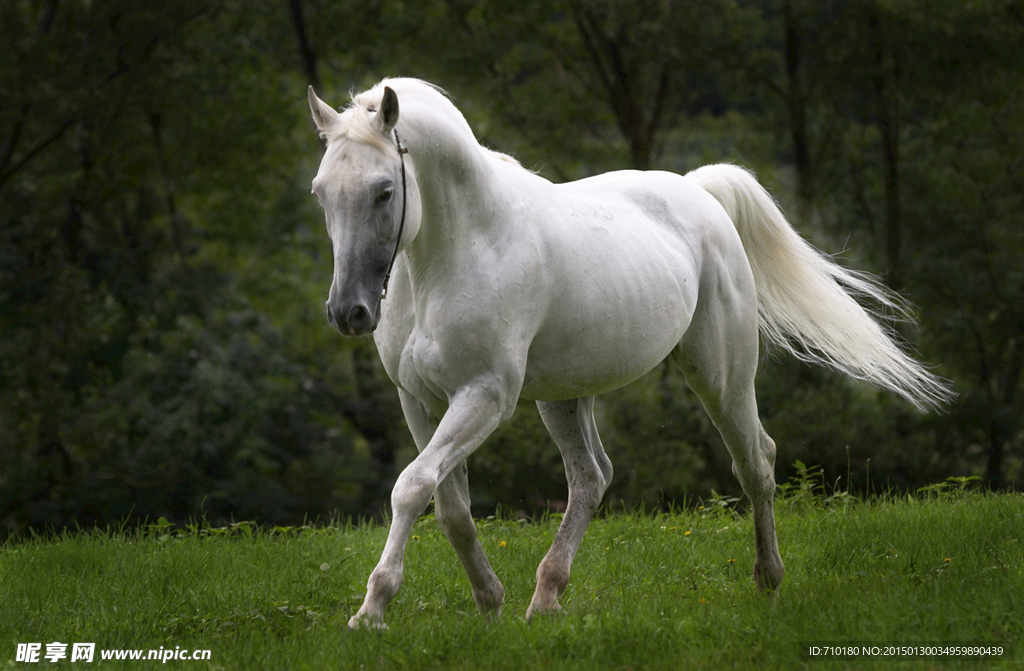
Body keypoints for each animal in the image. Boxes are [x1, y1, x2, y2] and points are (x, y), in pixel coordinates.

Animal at [305, 78, 951, 629]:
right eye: (320, 194)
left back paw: (768, 581)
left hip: (720, 377)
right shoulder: (419, 401)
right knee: (592, 478)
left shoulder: (485, 396)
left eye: (384, 191)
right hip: (564, 396)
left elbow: (412, 487)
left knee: (755, 463)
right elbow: (449, 507)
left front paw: (372, 609)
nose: (347, 312)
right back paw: (545, 600)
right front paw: (489, 604)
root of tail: (699, 191)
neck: (460, 249)